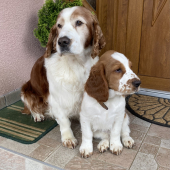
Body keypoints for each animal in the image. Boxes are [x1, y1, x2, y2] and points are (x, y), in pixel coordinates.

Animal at [20, 6, 105, 149]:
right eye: (59, 25)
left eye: (79, 22)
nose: (62, 41)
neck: (74, 63)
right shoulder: (56, 98)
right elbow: (64, 121)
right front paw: (68, 138)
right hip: (25, 89)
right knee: (30, 107)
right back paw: (38, 115)